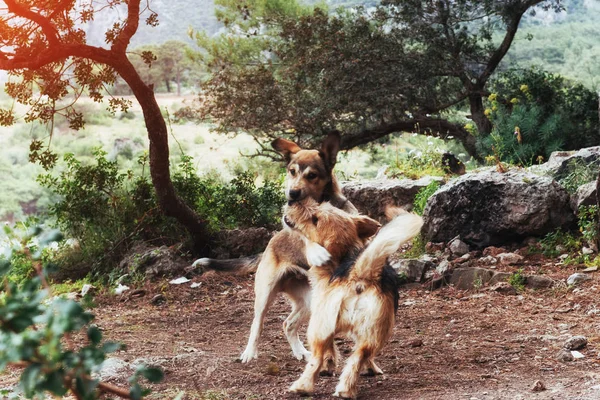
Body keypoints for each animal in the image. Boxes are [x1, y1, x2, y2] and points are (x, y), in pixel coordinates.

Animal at [195, 132, 358, 368]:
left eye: (312, 175)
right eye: (292, 171)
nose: (292, 193)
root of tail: (268, 246)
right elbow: (302, 232)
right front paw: (316, 249)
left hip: (308, 300)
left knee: (287, 324)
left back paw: (300, 352)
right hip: (265, 295)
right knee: (257, 324)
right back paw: (249, 353)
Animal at [284, 198, 422, 398]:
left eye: (315, 219)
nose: (292, 200)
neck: (345, 255)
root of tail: (360, 275)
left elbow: (330, 349)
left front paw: (328, 365)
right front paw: (371, 368)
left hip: (317, 329)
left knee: (316, 358)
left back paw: (302, 386)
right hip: (373, 334)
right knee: (359, 356)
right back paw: (345, 389)